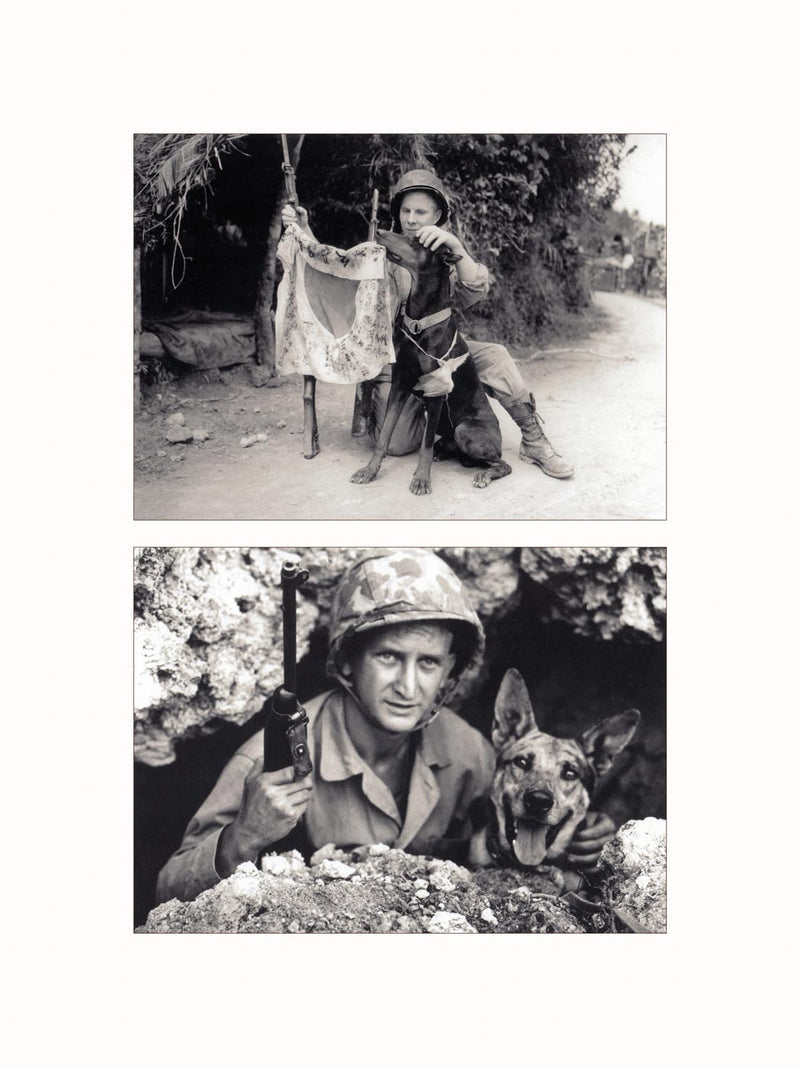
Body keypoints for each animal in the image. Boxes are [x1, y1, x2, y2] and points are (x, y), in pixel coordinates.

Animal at [349, 230, 514, 495]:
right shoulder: (400, 384)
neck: (420, 322)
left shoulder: (436, 391)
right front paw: (369, 470)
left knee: (502, 463)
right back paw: (444, 452)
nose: (381, 231)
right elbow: (384, 436)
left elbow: (424, 446)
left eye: (416, 241)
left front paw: (421, 480)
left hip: (465, 430)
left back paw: (483, 474)